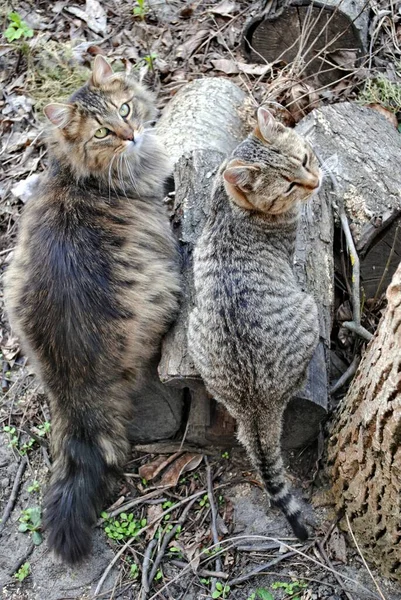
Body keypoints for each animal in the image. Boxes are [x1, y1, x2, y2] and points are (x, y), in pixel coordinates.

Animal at [188, 106, 322, 540]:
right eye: (288, 187)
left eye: (304, 159)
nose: (315, 182)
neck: (233, 205)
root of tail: (255, 404)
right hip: (310, 309)